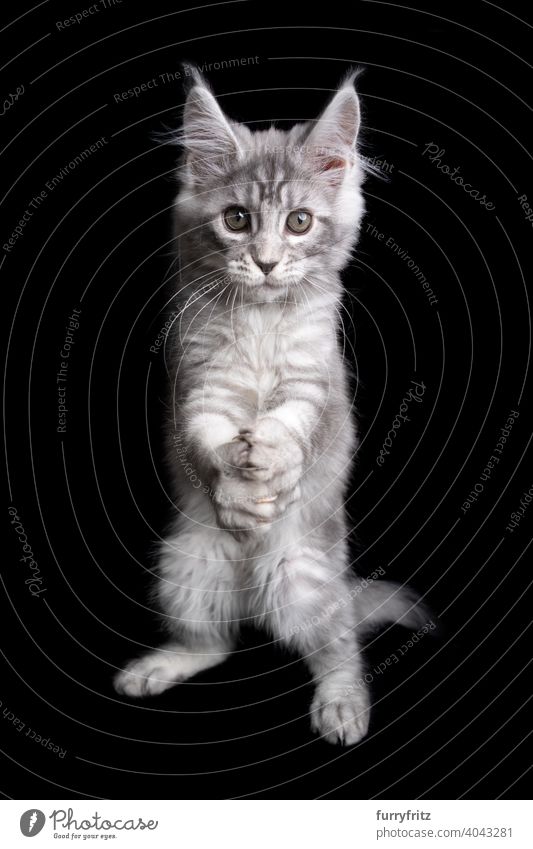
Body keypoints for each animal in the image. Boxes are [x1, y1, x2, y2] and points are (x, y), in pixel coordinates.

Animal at [114, 69, 426, 744]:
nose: (264, 261)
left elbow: (292, 429)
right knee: (215, 643)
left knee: (336, 646)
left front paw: (271, 462)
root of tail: (255, 592)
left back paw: (343, 707)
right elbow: (205, 441)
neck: (260, 319)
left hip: (305, 579)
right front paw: (238, 488)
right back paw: (158, 668)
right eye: (237, 219)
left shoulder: (317, 385)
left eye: (300, 222)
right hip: (187, 569)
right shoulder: (200, 386)